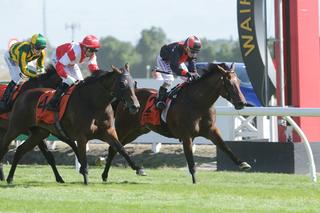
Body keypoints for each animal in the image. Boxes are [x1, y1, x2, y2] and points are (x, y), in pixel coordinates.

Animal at [0, 64, 142, 184]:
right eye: (122, 84)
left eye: (134, 83)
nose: (135, 106)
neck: (94, 104)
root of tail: (23, 95)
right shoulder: (80, 136)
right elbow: (81, 155)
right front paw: (85, 177)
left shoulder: (108, 132)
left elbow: (120, 148)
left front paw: (138, 168)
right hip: (15, 127)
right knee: (5, 147)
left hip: (39, 133)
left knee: (20, 150)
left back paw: (10, 178)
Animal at [102, 62, 252, 183]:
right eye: (229, 84)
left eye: (239, 82)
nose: (242, 103)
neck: (198, 103)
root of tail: (125, 98)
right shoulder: (186, 135)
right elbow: (190, 159)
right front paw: (195, 181)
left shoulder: (211, 131)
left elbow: (225, 147)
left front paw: (243, 163)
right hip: (124, 127)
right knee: (113, 147)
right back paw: (105, 175)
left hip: (137, 131)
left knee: (116, 147)